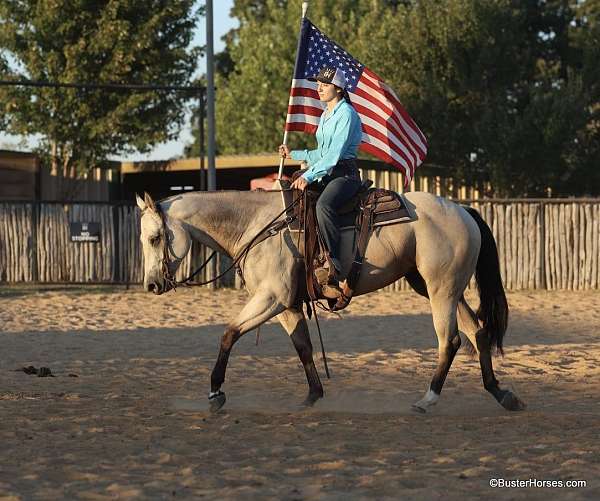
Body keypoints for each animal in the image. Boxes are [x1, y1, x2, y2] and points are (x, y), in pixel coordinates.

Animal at [136, 189, 524, 412]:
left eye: (155, 238)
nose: (152, 285)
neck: (257, 226)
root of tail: (462, 210)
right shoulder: (288, 305)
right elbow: (303, 347)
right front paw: (313, 395)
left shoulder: (270, 299)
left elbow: (229, 334)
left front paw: (216, 393)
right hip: (443, 288)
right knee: (479, 332)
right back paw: (500, 393)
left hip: (441, 289)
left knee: (451, 340)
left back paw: (428, 398)